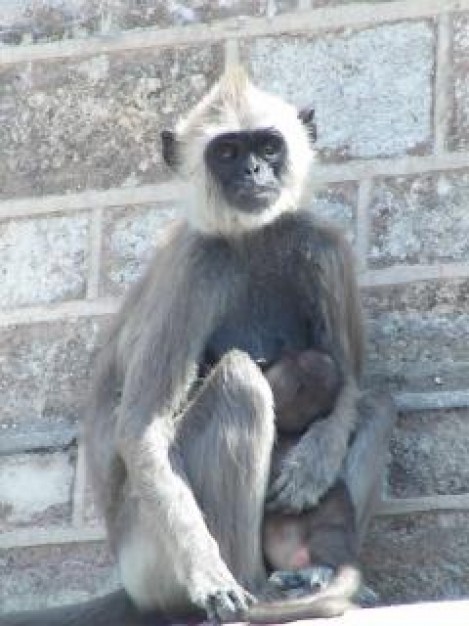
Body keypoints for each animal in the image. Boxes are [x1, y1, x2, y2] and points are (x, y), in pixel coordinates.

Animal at [0, 67, 394, 624]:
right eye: (226, 152)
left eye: (268, 147)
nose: (253, 170)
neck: (250, 238)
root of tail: (131, 585)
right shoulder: (196, 264)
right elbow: (142, 427)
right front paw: (211, 576)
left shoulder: (323, 245)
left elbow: (352, 381)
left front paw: (316, 460)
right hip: (152, 555)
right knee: (238, 383)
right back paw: (259, 592)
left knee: (378, 401)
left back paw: (321, 571)